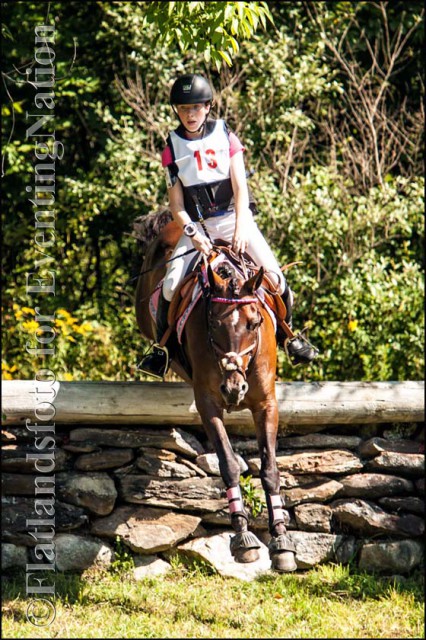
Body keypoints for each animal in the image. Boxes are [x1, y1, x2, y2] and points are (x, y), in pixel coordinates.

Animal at [136, 218, 296, 572]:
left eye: (254, 322)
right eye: (212, 324)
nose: (234, 390)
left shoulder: (266, 404)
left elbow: (270, 469)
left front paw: (282, 541)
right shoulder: (208, 403)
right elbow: (228, 463)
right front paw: (243, 538)